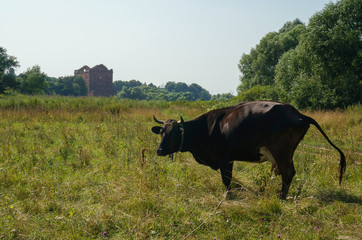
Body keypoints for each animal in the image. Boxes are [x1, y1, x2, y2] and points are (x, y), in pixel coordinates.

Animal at [151, 100, 346, 198]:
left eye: (173, 133)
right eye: (161, 132)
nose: (159, 151)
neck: (205, 129)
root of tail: (298, 114)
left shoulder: (223, 157)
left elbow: (226, 179)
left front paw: (227, 196)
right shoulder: (229, 159)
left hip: (281, 152)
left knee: (288, 173)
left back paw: (281, 197)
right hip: (287, 154)